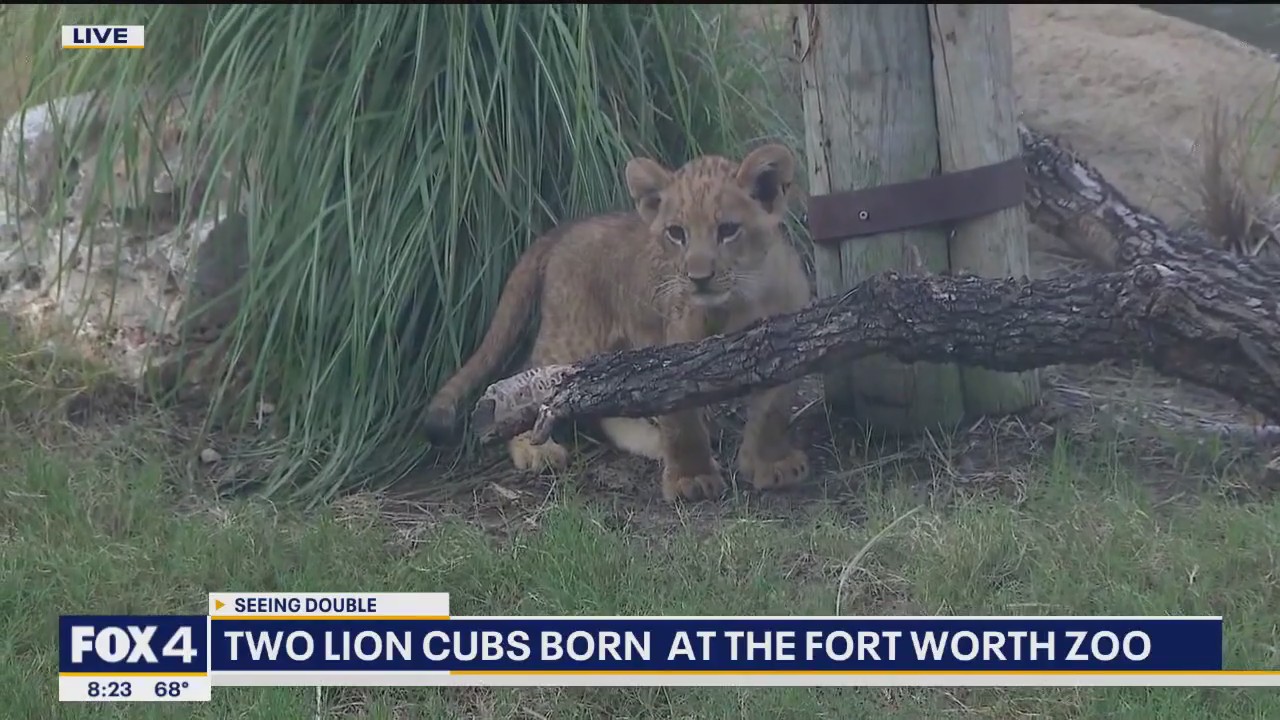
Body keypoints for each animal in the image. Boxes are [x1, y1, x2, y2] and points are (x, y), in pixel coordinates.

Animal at [423, 143, 813, 502]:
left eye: (728, 230)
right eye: (676, 233)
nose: (698, 278)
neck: (741, 299)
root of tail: (565, 230)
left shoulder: (784, 342)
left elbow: (772, 413)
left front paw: (770, 466)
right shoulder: (678, 351)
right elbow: (682, 420)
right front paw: (691, 479)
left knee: (606, 406)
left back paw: (650, 442)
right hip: (573, 337)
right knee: (527, 379)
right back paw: (536, 450)